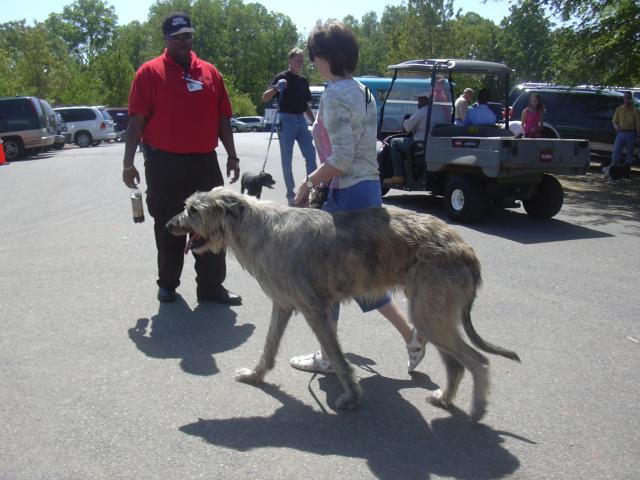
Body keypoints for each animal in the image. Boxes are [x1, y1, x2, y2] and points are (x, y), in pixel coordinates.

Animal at [166, 187, 520, 420]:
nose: (169, 225)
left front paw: (351, 396)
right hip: (431, 314)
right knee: (456, 363)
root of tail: (467, 250)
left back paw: (477, 409)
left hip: (430, 314)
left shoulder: (314, 309)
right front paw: (256, 375)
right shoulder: (284, 304)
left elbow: (337, 358)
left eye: (193, 210)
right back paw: (445, 397)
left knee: (478, 361)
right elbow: (269, 345)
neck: (257, 228)